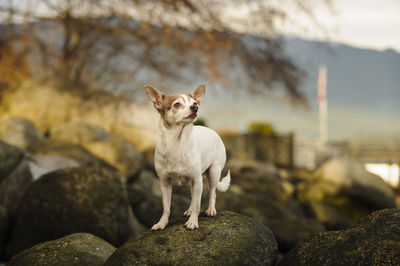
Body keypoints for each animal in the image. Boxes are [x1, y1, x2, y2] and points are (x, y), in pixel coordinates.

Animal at [145, 84, 231, 230]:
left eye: (195, 103)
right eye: (177, 104)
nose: (195, 107)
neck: (177, 143)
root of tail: (213, 131)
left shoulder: (197, 180)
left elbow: (198, 205)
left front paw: (193, 222)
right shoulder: (165, 183)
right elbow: (166, 207)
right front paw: (162, 223)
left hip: (213, 172)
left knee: (212, 193)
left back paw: (211, 210)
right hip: (193, 182)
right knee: (193, 197)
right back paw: (190, 210)